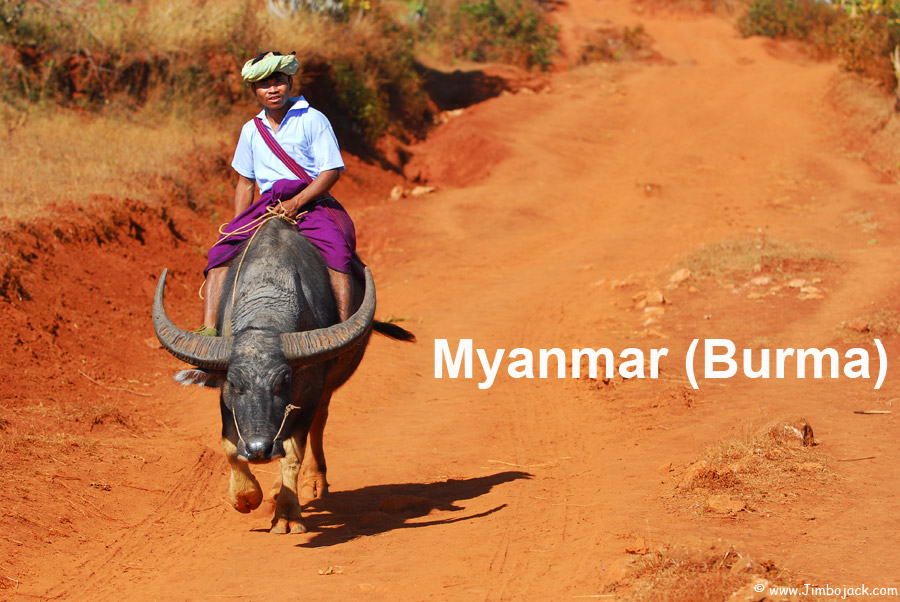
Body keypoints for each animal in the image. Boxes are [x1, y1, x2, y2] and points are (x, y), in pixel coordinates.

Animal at [153, 218, 414, 532]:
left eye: (282, 383)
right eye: (235, 385)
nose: (258, 449)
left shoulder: (308, 392)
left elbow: (293, 451)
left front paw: (288, 514)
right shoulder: (227, 400)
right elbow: (229, 445)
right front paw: (246, 497)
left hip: (326, 388)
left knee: (318, 423)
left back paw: (312, 482)